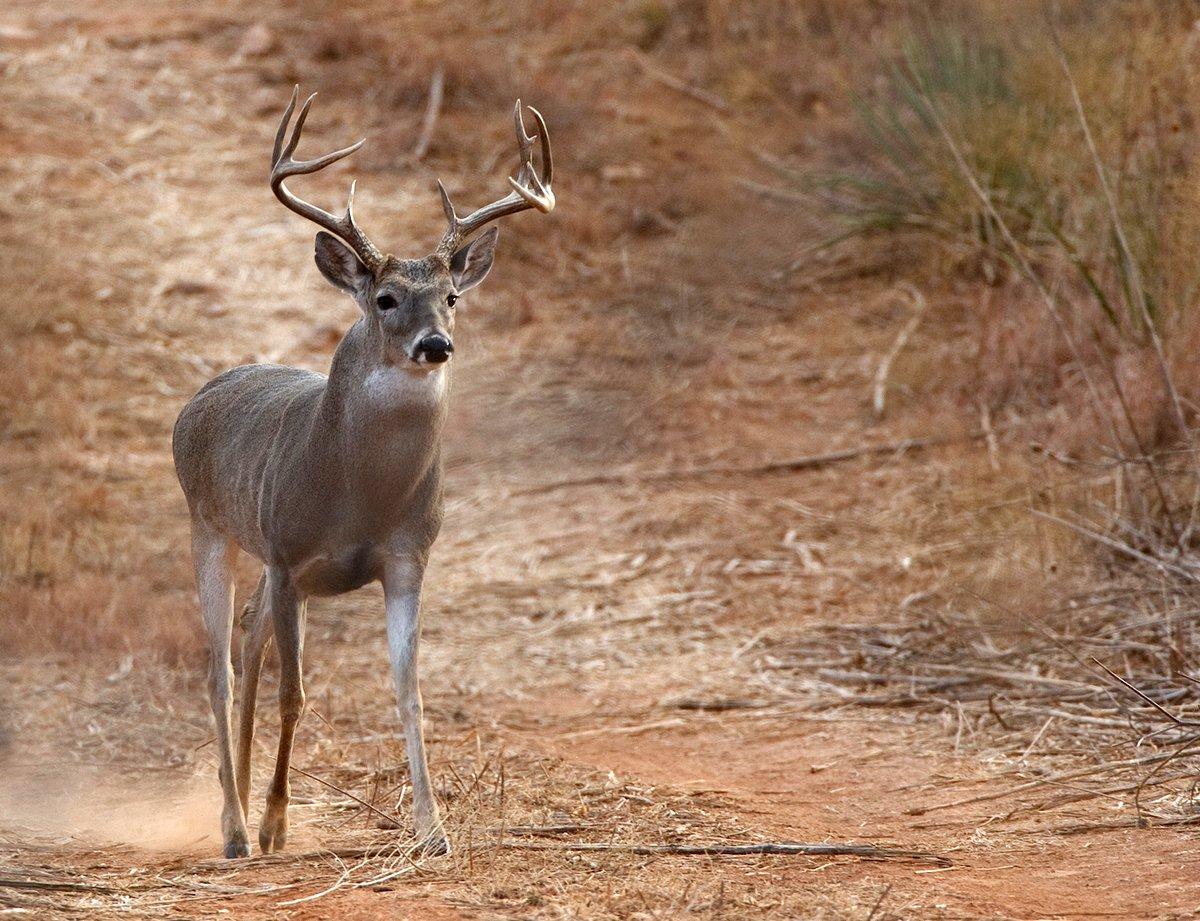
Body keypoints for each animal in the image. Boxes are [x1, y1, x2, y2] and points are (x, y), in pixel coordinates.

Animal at [171, 86, 554, 853]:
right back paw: (234, 827)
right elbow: (294, 693)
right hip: (213, 528)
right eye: (385, 299)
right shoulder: (289, 553)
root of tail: (201, 398)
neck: (359, 495)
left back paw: (244, 800)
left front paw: (433, 829)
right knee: (220, 669)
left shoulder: (408, 555)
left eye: (452, 298)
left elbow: (410, 692)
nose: (436, 344)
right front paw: (274, 824)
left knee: (248, 639)